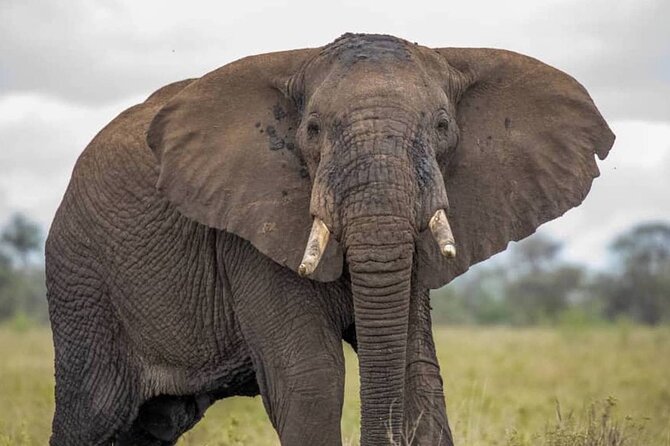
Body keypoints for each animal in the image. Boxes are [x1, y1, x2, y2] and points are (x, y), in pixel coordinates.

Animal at [45, 33, 614, 446]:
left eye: (442, 125)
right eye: (313, 130)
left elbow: (419, 374)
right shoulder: (249, 229)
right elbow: (312, 379)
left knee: (153, 423)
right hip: (83, 280)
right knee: (92, 413)